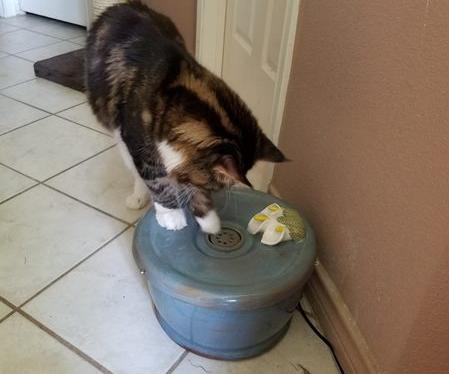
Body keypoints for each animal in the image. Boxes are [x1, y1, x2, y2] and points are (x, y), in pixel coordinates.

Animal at [86, 0, 286, 234]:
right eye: (214, 185)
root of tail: (123, 4)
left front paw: (210, 222)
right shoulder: (138, 144)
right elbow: (157, 182)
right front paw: (172, 216)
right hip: (119, 133)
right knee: (135, 170)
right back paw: (138, 197)